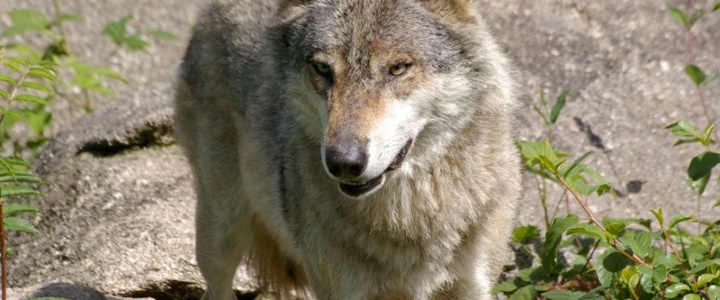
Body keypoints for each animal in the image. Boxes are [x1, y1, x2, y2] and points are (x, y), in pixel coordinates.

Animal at [176, 0, 524, 298]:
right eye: (322, 69)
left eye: (398, 68)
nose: (343, 161)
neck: (410, 220)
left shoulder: (471, 287)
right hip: (222, 234)